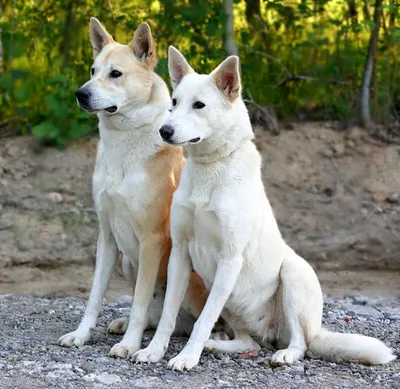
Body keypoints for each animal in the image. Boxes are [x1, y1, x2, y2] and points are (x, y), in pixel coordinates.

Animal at [57, 19, 212, 356]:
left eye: (116, 73)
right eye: (92, 70)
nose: (80, 94)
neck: (122, 143)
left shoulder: (151, 240)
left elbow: (139, 300)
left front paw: (129, 344)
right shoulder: (106, 236)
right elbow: (94, 296)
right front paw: (81, 335)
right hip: (129, 261)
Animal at [133, 47, 396, 368]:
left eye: (199, 105)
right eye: (174, 102)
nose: (165, 130)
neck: (210, 168)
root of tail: (273, 333)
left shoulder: (230, 260)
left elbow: (202, 320)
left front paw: (186, 357)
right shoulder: (181, 254)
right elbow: (168, 315)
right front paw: (154, 351)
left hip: (292, 275)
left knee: (300, 343)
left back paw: (283, 354)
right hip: (231, 302)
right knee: (250, 342)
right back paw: (216, 345)